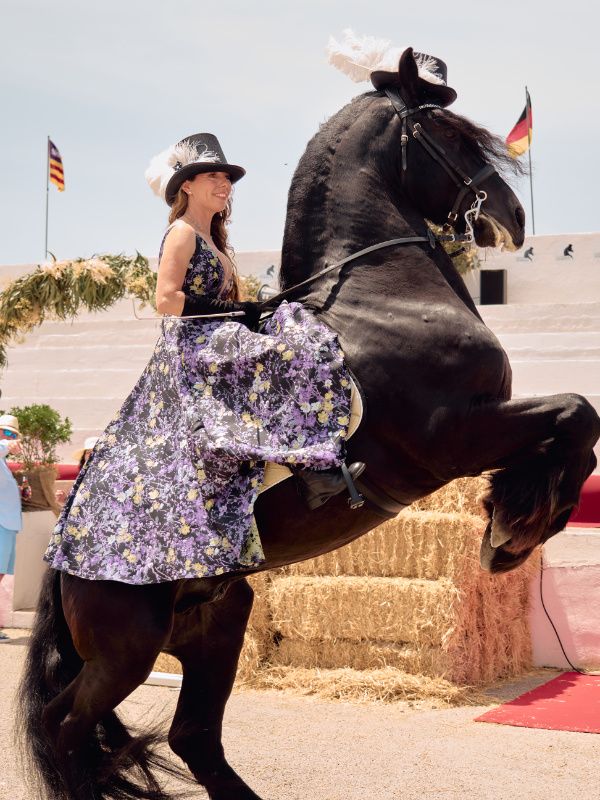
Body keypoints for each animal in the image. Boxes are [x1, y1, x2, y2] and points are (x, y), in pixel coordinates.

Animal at [16, 48, 596, 800]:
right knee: (65, 729)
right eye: (448, 131)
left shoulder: (478, 430)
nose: (514, 218)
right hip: (127, 649)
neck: (386, 295)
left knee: (191, 734)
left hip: (214, 623)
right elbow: (578, 415)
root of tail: (64, 550)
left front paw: (510, 518)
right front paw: (509, 532)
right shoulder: (454, 435)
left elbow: (576, 431)